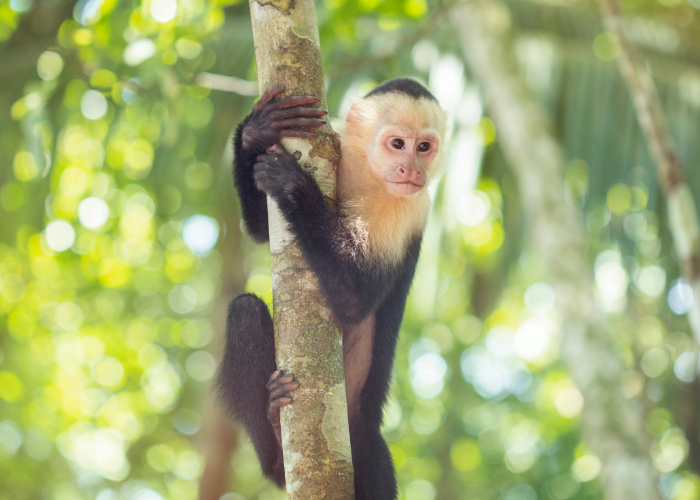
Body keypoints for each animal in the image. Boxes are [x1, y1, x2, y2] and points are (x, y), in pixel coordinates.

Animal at [219, 76, 448, 498]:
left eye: (425, 147)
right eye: (398, 143)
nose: (411, 169)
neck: (367, 173)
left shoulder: (405, 208)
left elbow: (355, 296)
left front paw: (292, 184)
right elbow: (261, 229)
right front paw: (257, 129)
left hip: (364, 441)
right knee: (244, 311)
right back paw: (275, 437)